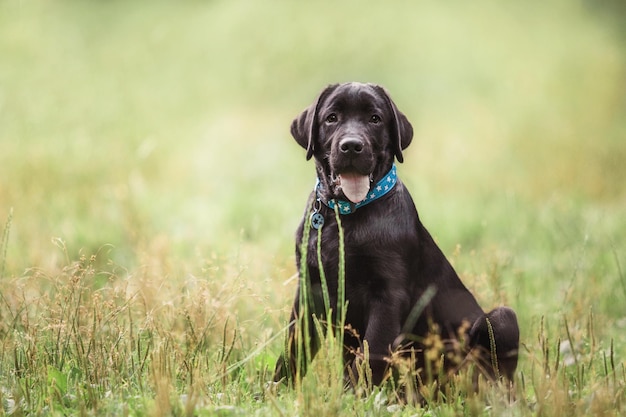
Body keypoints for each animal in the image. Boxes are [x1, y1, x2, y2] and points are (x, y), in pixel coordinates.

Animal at [272, 82, 516, 390]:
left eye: (375, 119)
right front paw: (275, 392)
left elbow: (371, 354)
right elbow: (293, 348)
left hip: (502, 319)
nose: (351, 146)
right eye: (331, 118)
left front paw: (359, 396)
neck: (346, 215)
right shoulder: (309, 289)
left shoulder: (387, 296)